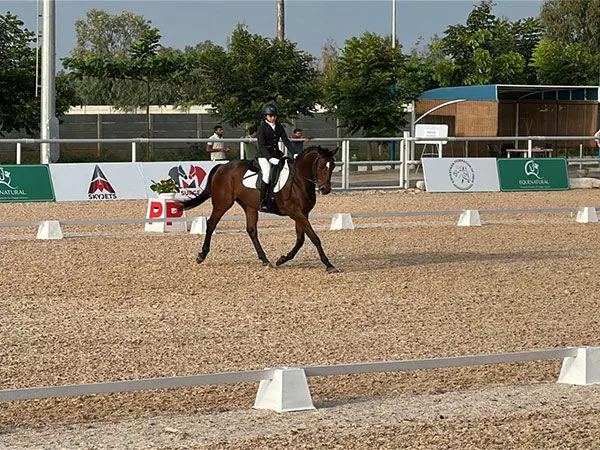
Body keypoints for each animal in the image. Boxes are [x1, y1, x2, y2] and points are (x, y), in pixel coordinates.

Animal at [180, 148, 340, 272]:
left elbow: (300, 240)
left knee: (251, 231)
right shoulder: (296, 213)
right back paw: (201, 255)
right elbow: (314, 238)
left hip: (249, 207)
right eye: (321, 165)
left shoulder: (302, 214)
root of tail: (222, 166)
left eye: (332, 166)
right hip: (222, 204)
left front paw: (282, 259)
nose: (325, 189)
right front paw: (329, 265)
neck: (299, 180)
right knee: (211, 224)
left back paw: (265, 259)